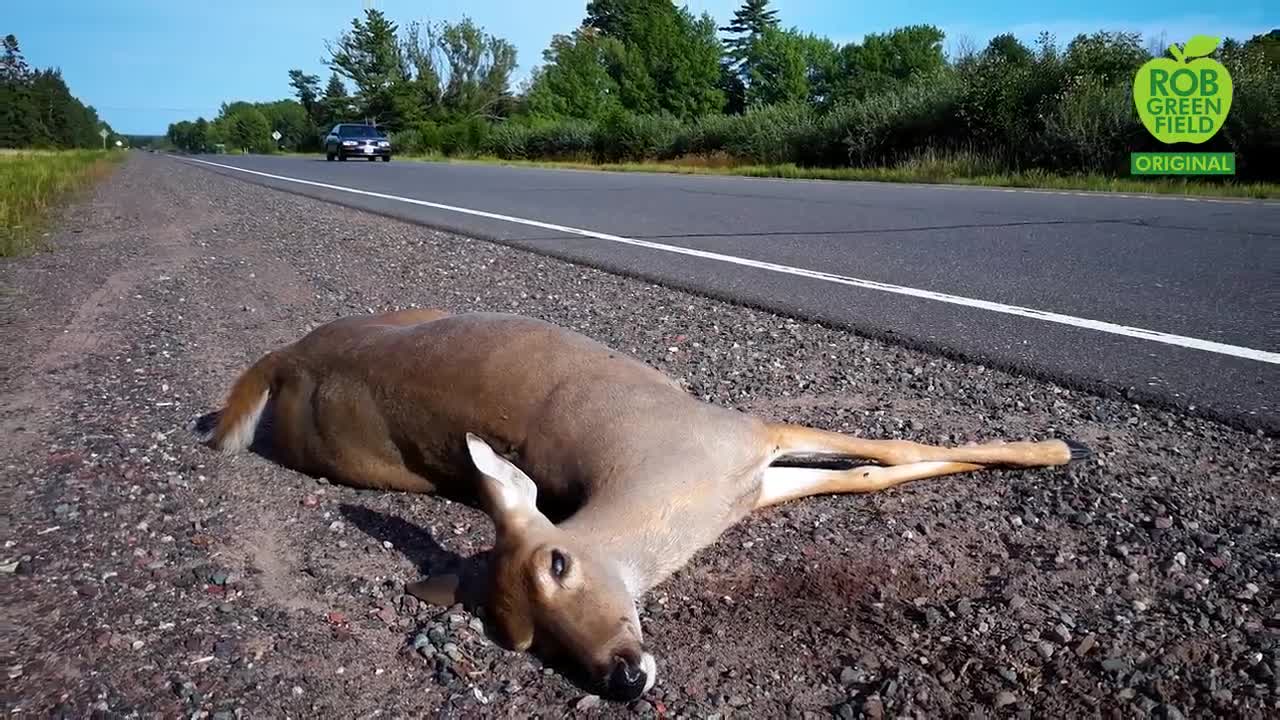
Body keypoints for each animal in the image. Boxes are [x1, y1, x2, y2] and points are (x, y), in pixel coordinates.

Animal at [207, 308, 1090, 702]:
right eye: (522, 642)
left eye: (558, 561)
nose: (622, 677)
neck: (665, 485)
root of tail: (283, 357)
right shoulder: (748, 472)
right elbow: (871, 474)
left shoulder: (745, 433)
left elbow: (889, 453)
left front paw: (1054, 450)